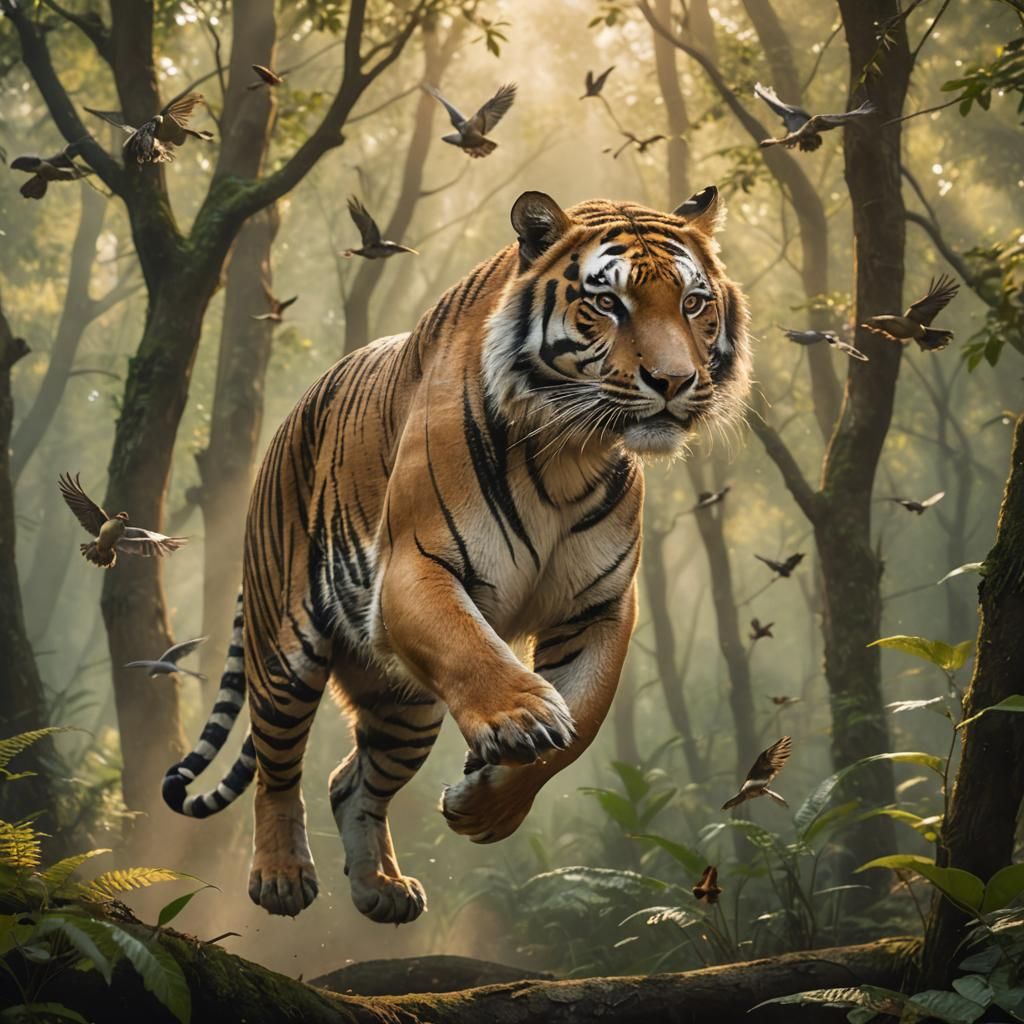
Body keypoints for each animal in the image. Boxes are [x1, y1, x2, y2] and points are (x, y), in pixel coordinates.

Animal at [162, 186, 752, 922]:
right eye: (609, 303)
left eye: (693, 302)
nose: (673, 381)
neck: (568, 451)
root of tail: (287, 422)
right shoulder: (413, 568)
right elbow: (475, 650)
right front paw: (523, 716)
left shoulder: (600, 606)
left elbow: (584, 721)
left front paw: (485, 807)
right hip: (286, 656)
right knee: (278, 769)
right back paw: (280, 877)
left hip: (405, 706)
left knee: (350, 782)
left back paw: (382, 889)